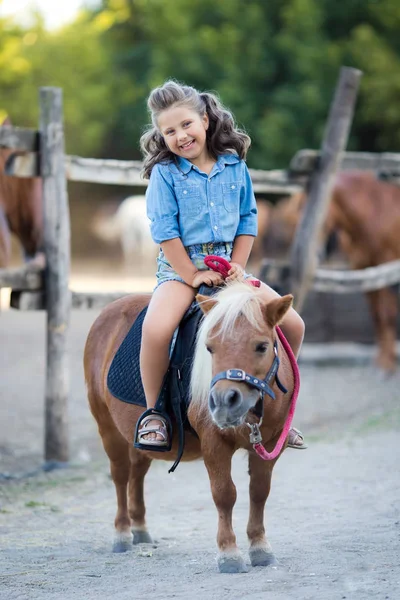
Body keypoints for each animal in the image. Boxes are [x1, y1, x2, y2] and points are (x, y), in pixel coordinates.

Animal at [83, 284, 296, 576]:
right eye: (209, 348)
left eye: (262, 346)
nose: (224, 401)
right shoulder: (214, 443)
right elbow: (224, 493)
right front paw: (229, 554)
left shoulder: (272, 443)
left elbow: (259, 491)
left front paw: (260, 548)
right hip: (107, 426)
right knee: (120, 475)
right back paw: (122, 533)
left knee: (137, 472)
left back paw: (139, 529)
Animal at [260, 171, 400, 372]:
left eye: (317, 216)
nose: (317, 253)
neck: (376, 210)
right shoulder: (366, 268)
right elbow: (377, 315)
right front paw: (382, 360)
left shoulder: (385, 265)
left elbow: (387, 314)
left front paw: (386, 365)